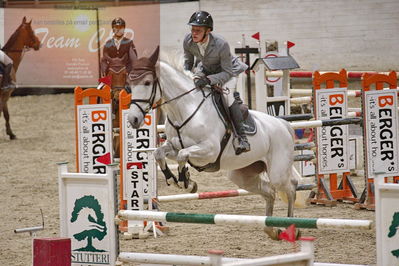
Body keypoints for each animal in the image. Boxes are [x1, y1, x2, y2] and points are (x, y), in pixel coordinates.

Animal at [127, 47, 300, 239]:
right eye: (130, 84)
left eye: (147, 83)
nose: (133, 119)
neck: (184, 108)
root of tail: (284, 125)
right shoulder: (174, 146)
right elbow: (160, 153)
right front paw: (177, 180)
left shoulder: (209, 151)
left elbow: (183, 156)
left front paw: (185, 181)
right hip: (243, 175)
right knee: (269, 192)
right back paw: (272, 230)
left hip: (277, 171)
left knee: (291, 187)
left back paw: (292, 228)